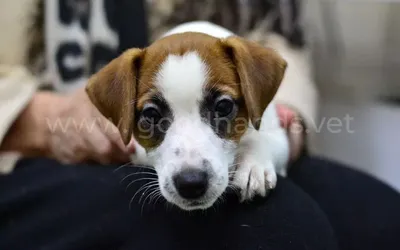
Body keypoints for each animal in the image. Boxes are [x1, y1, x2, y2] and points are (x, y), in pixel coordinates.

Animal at [86, 21, 290, 210]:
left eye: (223, 106)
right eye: (151, 115)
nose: (191, 183)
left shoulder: (275, 131)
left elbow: (262, 139)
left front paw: (253, 166)